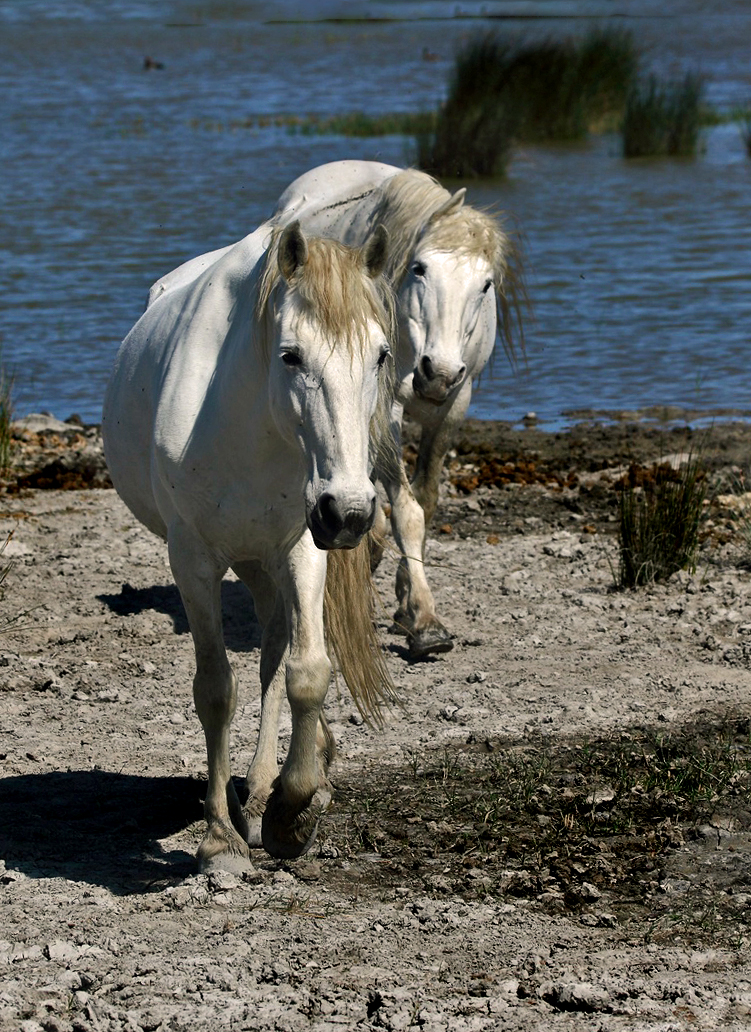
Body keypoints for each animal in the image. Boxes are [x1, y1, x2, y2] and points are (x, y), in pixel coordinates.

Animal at [105, 221, 398, 866]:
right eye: (291, 355)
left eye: (382, 354)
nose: (350, 511)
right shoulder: (193, 562)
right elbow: (215, 689)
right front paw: (219, 833)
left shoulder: (304, 547)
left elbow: (306, 671)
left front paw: (292, 810)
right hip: (246, 562)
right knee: (261, 652)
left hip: (268, 559)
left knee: (274, 651)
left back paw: (272, 783)